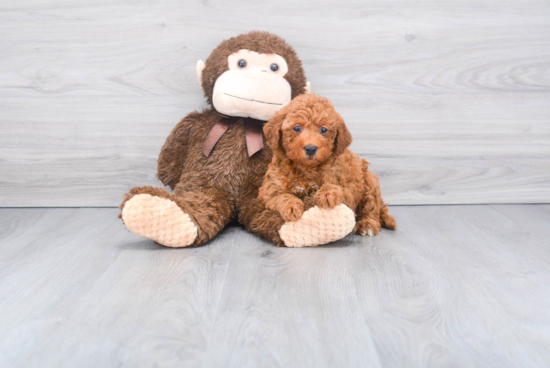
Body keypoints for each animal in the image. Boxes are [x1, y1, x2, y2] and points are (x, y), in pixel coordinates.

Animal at [258, 93, 396, 237]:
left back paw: (368, 225)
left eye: (323, 130)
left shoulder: (348, 191)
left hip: (370, 181)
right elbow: (281, 197)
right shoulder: (268, 191)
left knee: (371, 208)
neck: (306, 168)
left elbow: (336, 188)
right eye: (297, 128)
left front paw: (326, 193)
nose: (311, 148)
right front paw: (291, 207)